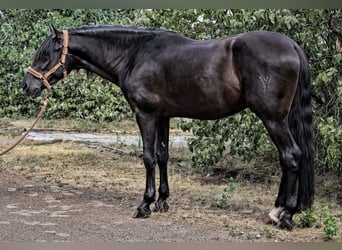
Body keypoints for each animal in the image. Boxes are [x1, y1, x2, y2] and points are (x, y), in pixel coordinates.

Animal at [22, 24, 314, 229]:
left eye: (46, 54)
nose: (28, 86)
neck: (135, 54)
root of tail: (291, 45)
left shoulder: (146, 115)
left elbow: (148, 158)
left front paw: (144, 204)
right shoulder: (163, 117)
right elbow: (163, 156)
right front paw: (162, 200)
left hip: (272, 118)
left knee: (291, 157)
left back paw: (286, 215)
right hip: (279, 119)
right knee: (289, 158)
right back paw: (277, 211)